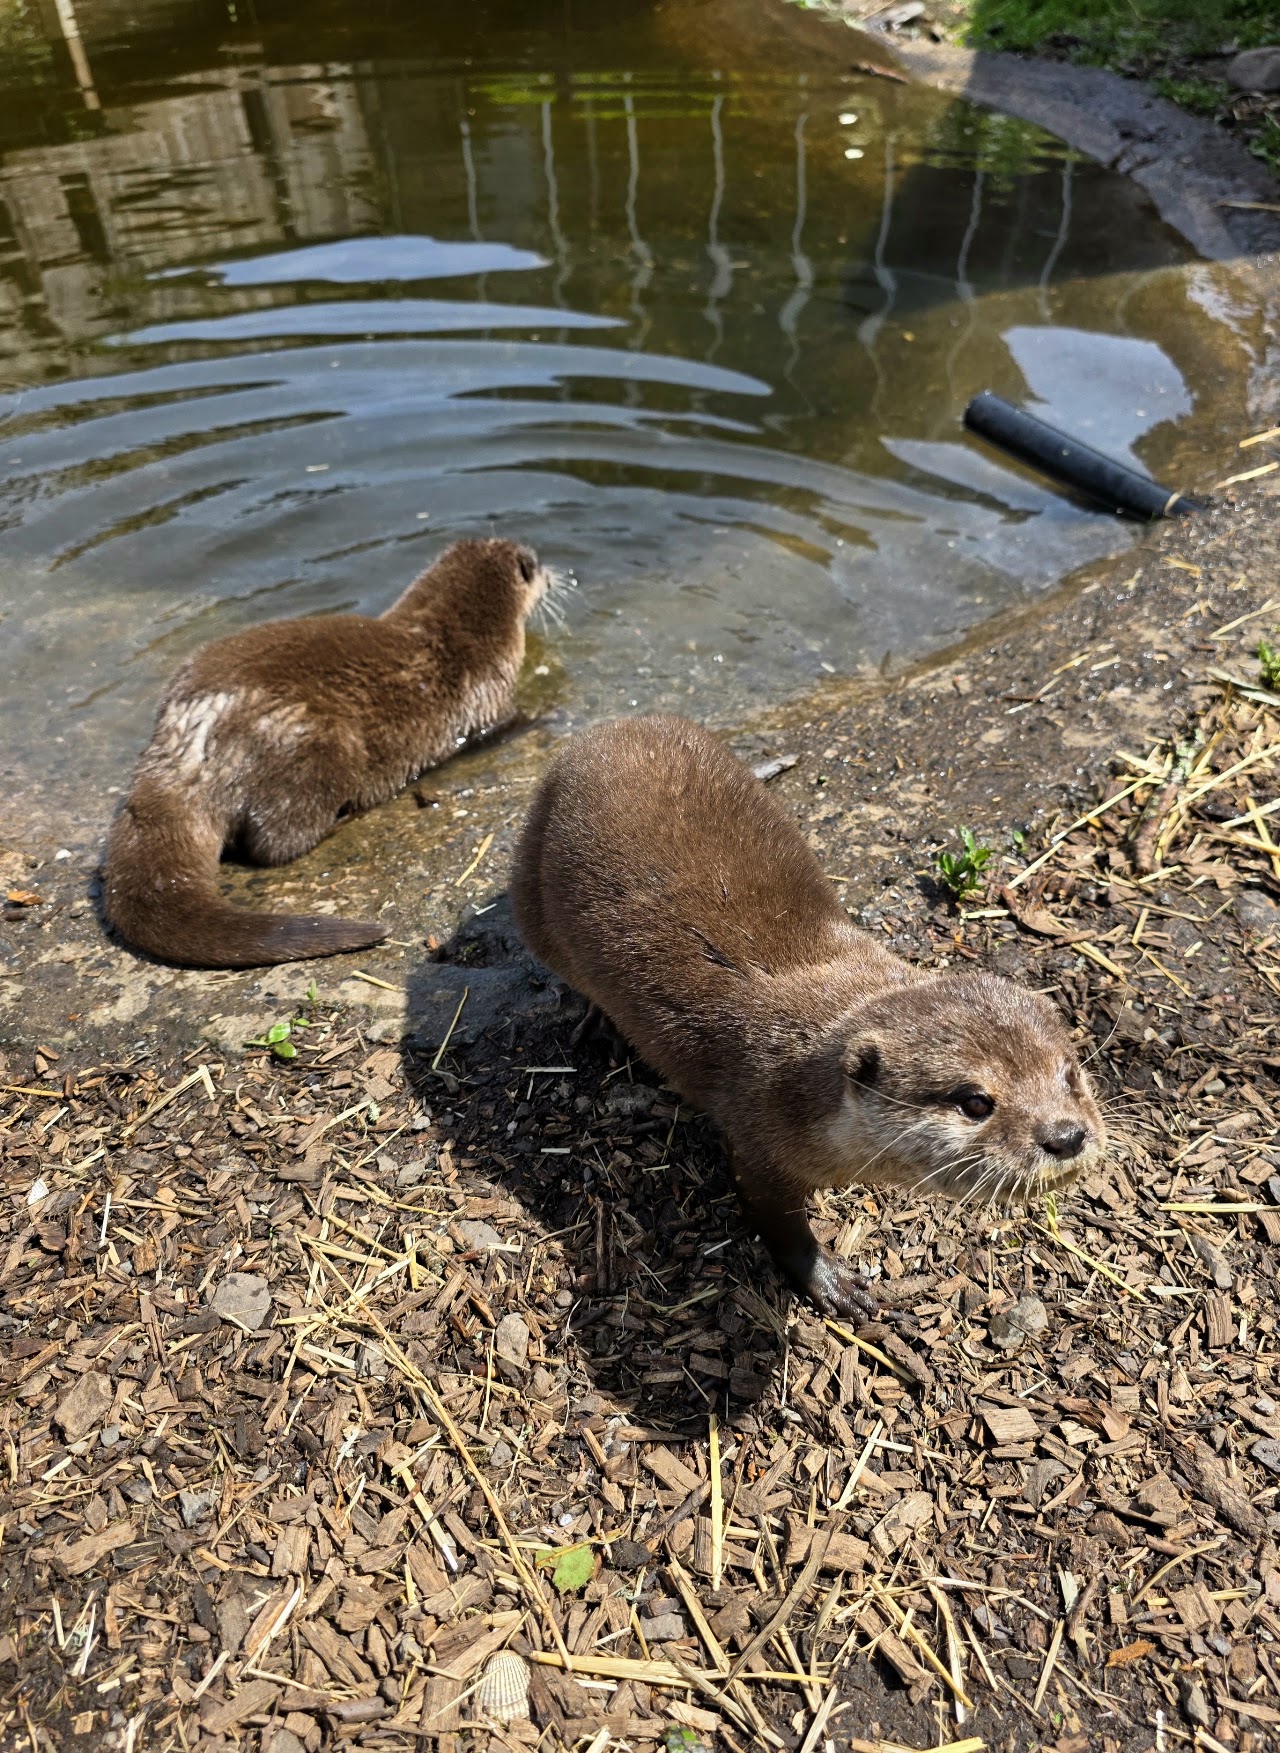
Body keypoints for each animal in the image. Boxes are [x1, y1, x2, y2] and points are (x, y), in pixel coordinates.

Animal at [105, 538, 559, 969]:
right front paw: (546, 715)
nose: (554, 576)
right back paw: (344, 817)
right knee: (275, 843)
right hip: (319, 748)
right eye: (537, 564)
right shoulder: (487, 694)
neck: (455, 630)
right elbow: (504, 727)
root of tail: (188, 738)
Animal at [510, 715, 1104, 1318]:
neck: (803, 1084)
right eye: (976, 1102)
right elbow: (777, 1224)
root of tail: (607, 729)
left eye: (1070, 1075)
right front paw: (830, 1281)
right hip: (532, 898)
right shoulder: (757, 1137)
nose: (1066, 1135)